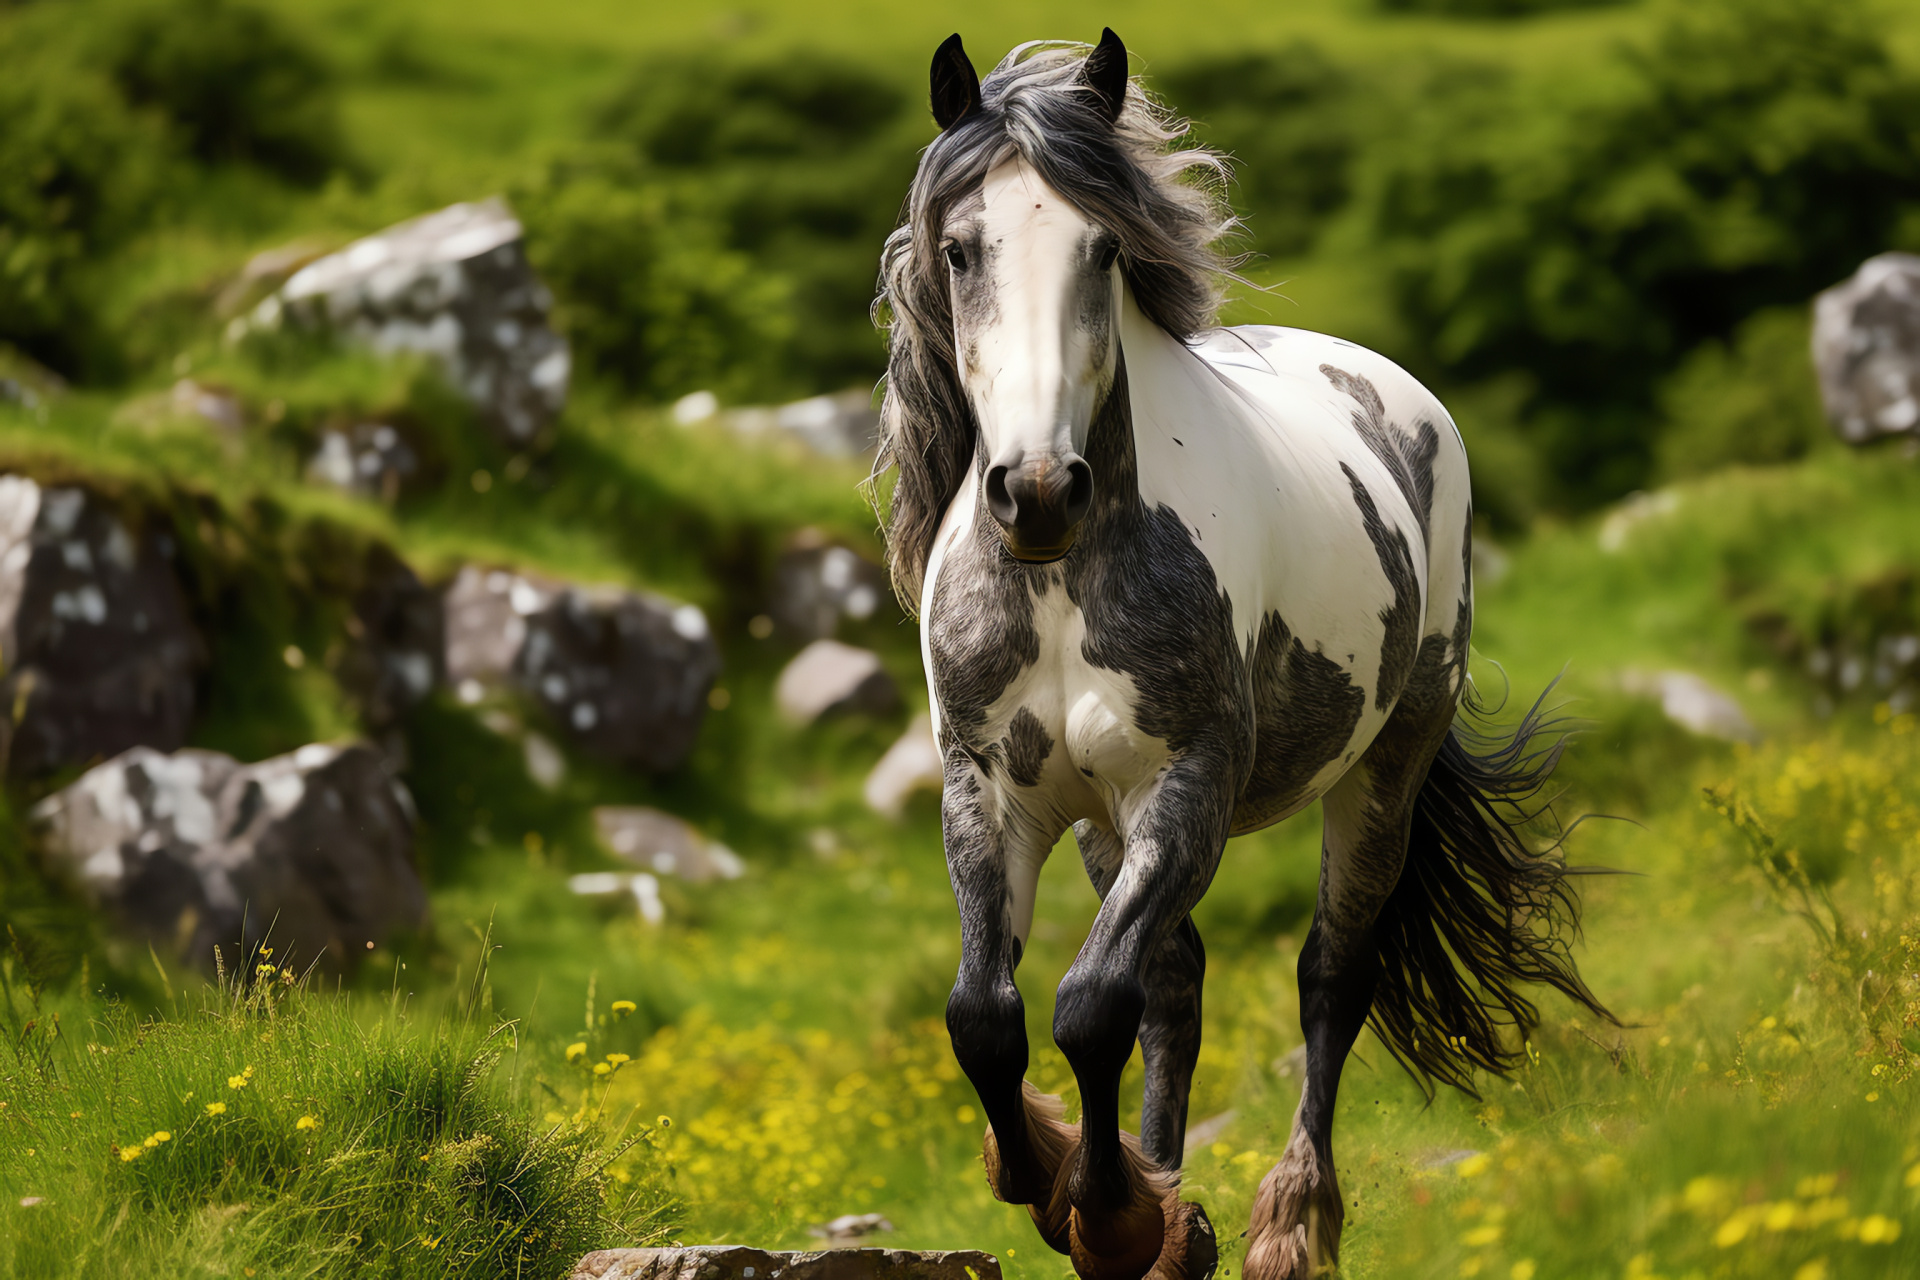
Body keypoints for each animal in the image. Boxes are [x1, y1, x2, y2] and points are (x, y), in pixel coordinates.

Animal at [871, 29, 1605, 1280]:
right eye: (960, 250)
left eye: (1104, 247)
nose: (1037, 490)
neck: (1065, 579)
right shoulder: (995, 790)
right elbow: (989, 1014)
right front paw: (1081, 1189)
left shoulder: (1191, 783)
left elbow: (1088, 1003)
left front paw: (1111, 1214)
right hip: (1104, 820)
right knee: (1173, 982)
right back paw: (1181, 1217)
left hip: (1383, 767)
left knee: (1329, 974)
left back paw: (1288, 1223)